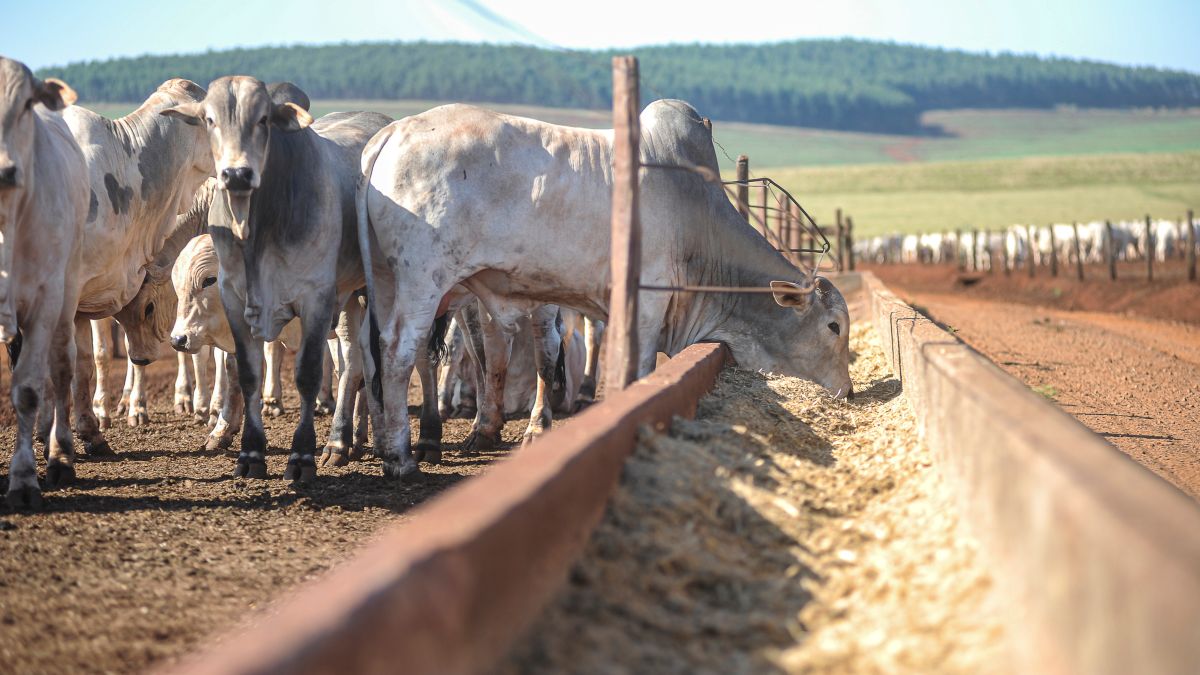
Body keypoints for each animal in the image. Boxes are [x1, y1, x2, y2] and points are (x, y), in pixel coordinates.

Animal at [159, 76, 391, 480]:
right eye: (208, 120)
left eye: (264, 119)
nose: (178, 339)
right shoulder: (237, 303)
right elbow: (243, 371)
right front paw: (240, 444)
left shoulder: (315, 301)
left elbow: (308, 374)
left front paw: (301, 457)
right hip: (349, 301)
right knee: (356, 363)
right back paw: (356, 439)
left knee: (359, 363)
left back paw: (347, 441)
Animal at [355, 98, 854, 478]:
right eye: (834, 326)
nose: (848, 391)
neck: (698, 222)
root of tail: (392, 133)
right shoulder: (648, 304)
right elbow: (640, 372)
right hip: (423, 278)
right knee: (398, 350)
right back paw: (400, 458)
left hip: (384, 279)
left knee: (374, 349)